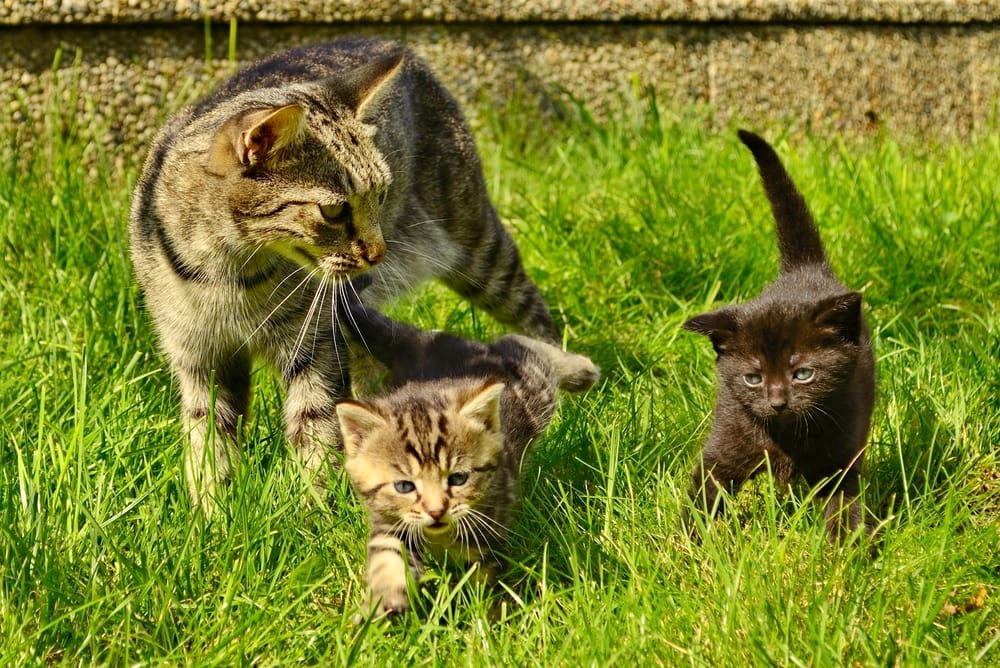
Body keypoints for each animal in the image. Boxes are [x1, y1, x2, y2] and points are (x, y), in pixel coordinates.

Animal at [127, 36, 556, 508]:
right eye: (333, 211)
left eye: (381, 194)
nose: (378, 252)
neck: (229, 273)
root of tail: (388, 41)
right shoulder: (199, 358)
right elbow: (208, 443)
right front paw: (213, 512)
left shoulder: (313, 347)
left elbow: (314, 433)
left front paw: (314, 513)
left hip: (477, 247)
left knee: (536, 315)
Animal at [336, 294, 600, 620]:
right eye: (404, 486)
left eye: (458, 479)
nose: (437, 511)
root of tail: (425, 341)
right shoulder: (391, 521)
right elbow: (389, 557)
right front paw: (383, 603)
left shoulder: (488, 527)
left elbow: (483, 578)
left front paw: (484, 616)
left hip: (532, 387)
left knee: (520, 344)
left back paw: (583, 370)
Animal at [684, 130, 872, 544]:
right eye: (752, 378)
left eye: (803, 373)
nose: (777, 401)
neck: (785, 435)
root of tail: (804, 269)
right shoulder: (725, 446)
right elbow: (703, 494)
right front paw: (684, 544)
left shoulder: (840, 460)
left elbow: (843, 507)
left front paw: (844, 553)